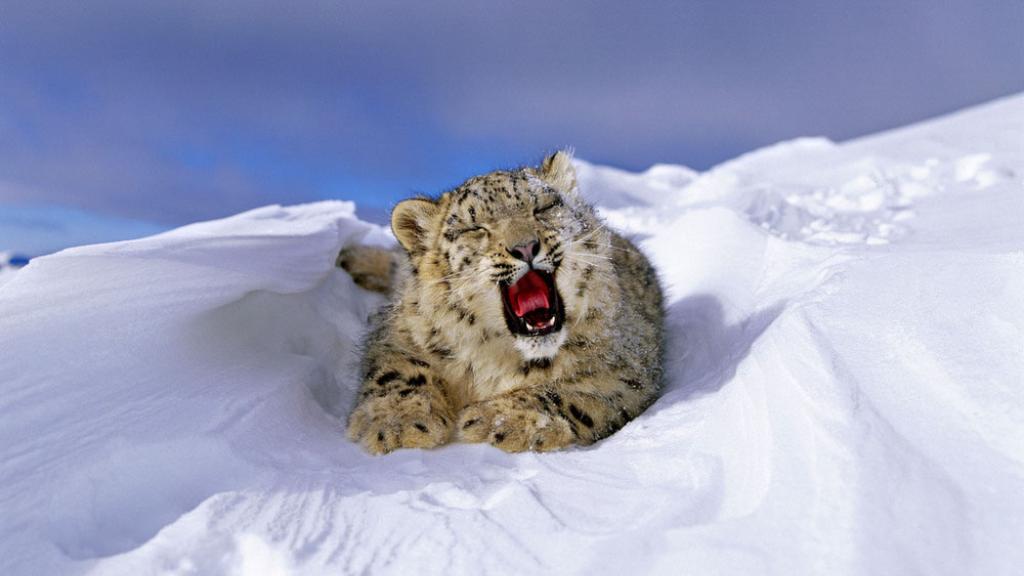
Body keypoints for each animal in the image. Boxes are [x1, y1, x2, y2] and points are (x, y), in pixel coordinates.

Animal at [339, 151, 664, 454]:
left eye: (543, 208)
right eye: (475, 228)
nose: (525, 247)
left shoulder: (625, 371)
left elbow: (570, 393)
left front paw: (499, 420)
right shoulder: (398, 335)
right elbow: (398, 371)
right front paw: (397, 423)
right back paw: (350, 257)